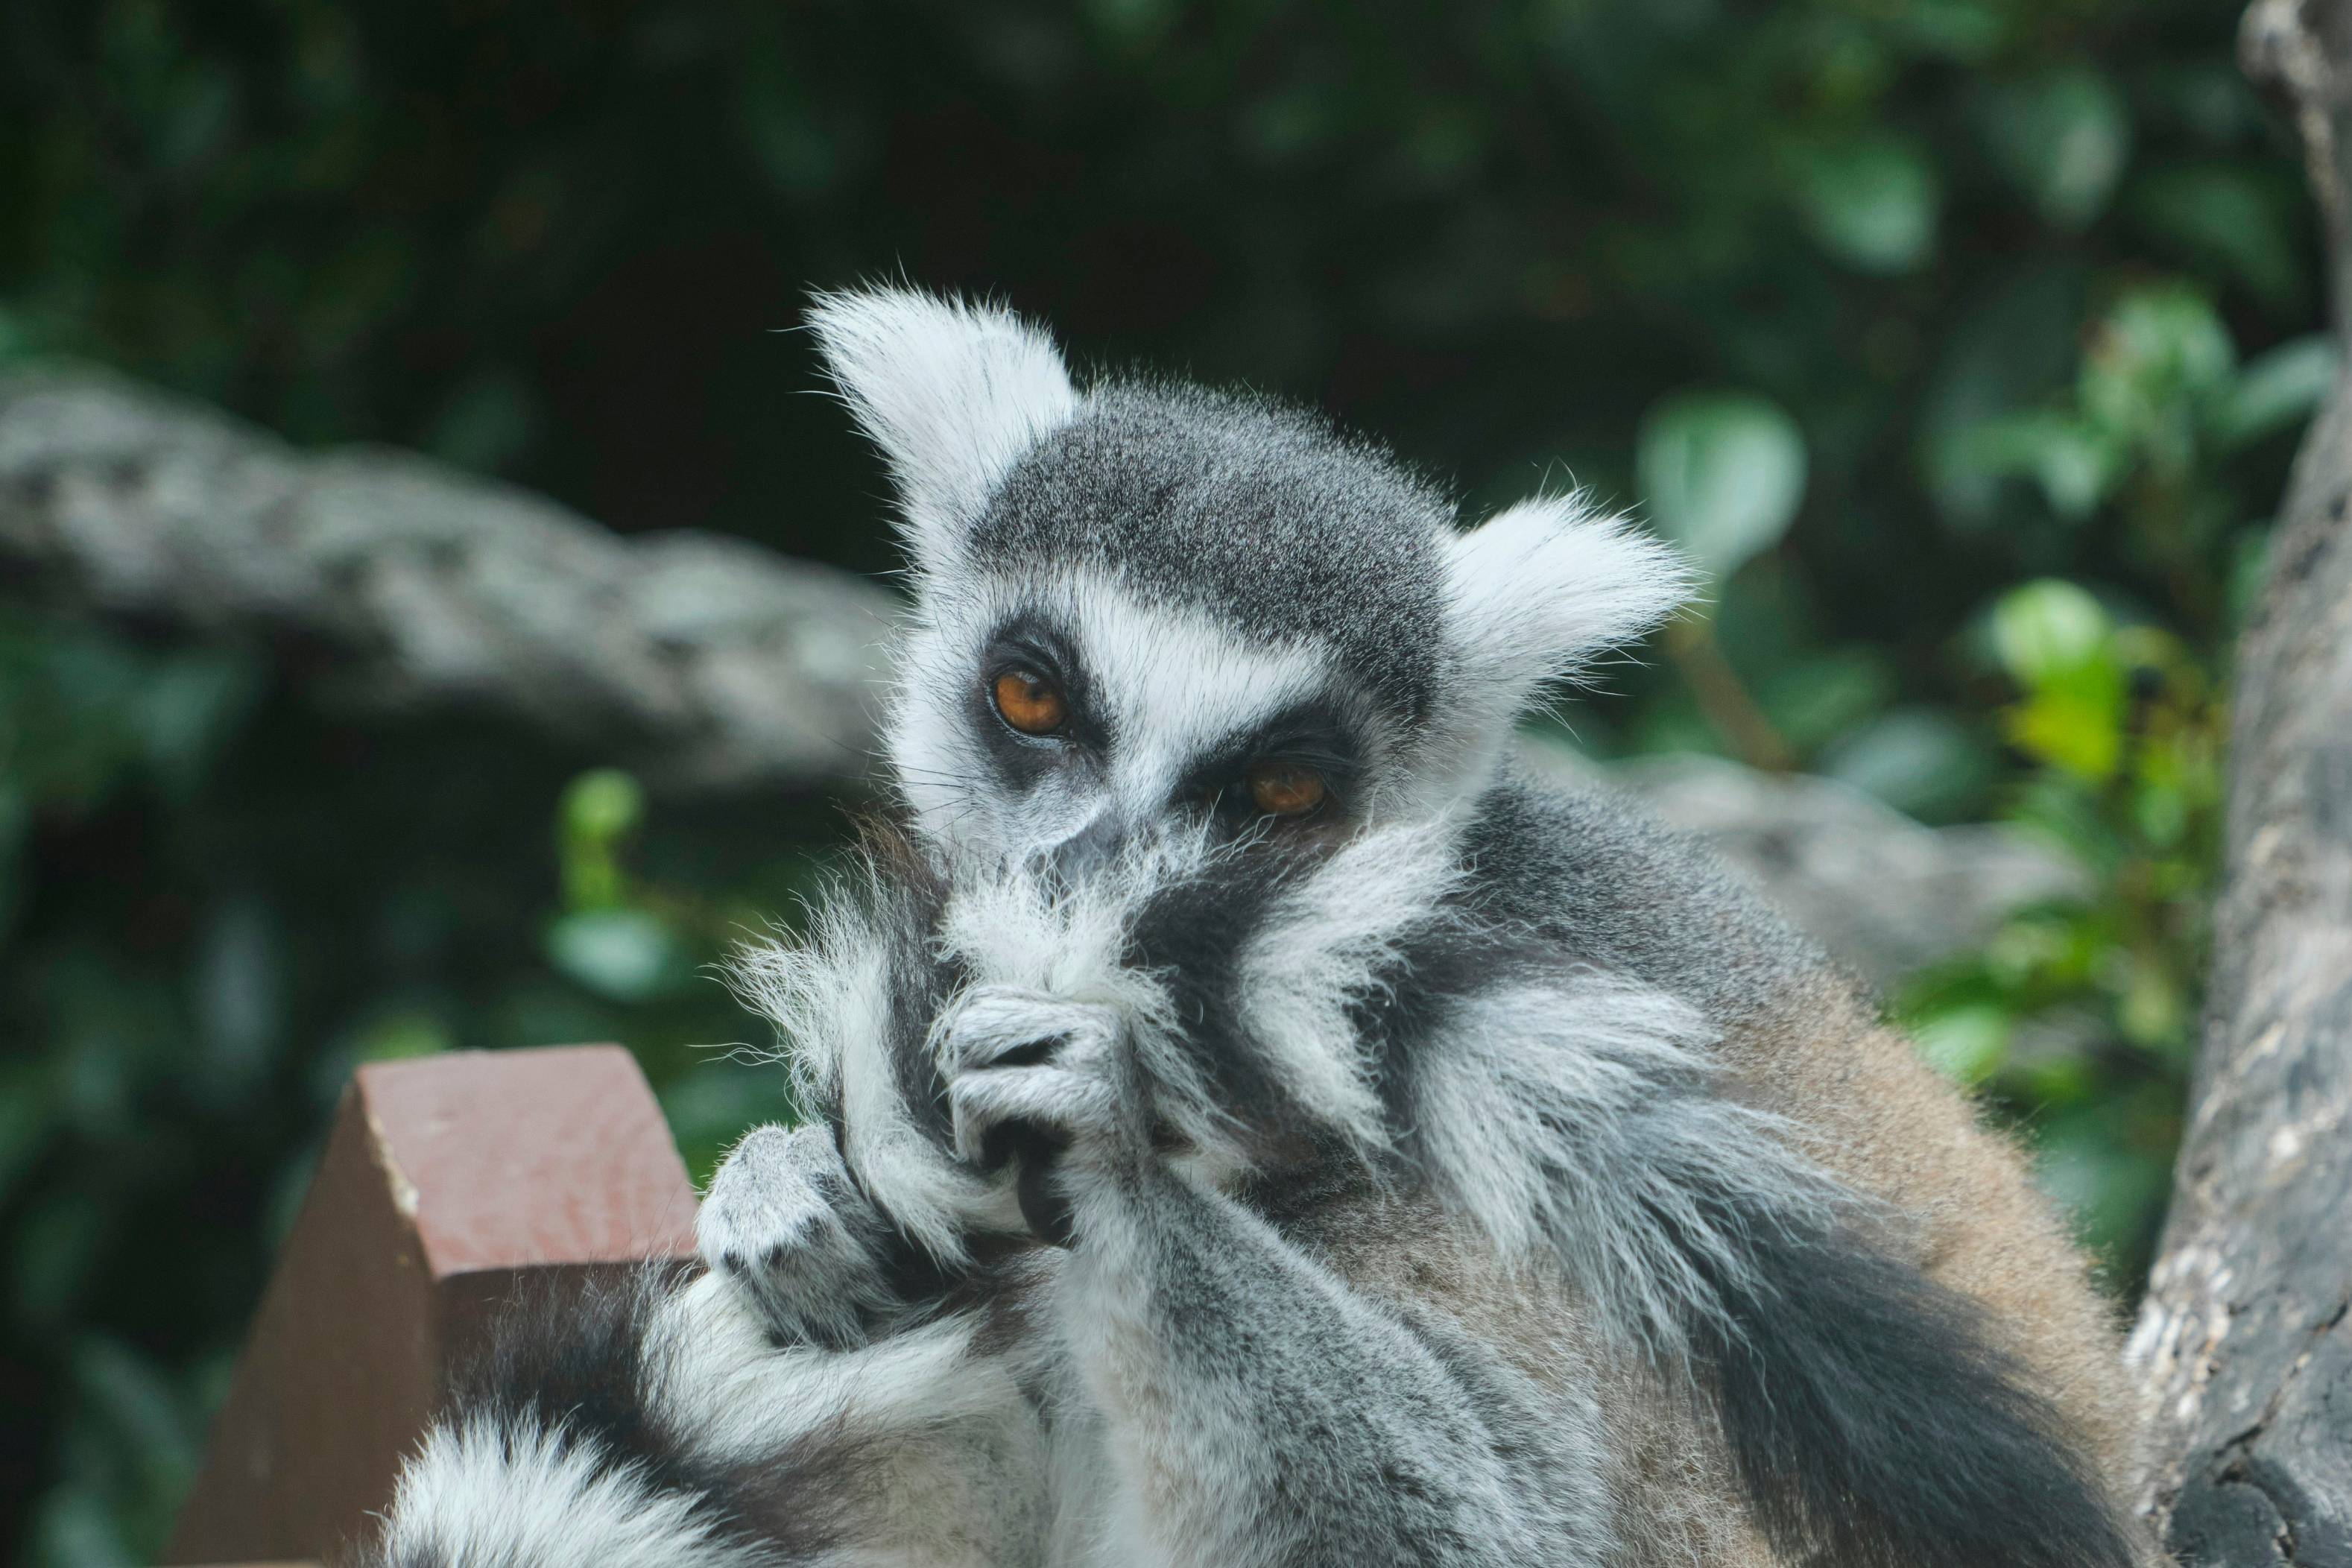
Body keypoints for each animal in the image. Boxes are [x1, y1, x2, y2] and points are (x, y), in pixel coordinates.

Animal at [348, 287, 2154, 1568]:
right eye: (1031, 697)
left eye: (1281, 789)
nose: (1084, 891)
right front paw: (785, 1185)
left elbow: (1500, 1520)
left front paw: (1095, 1126)